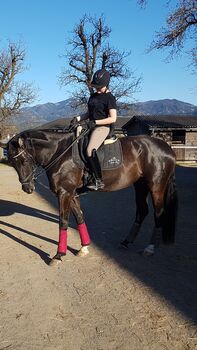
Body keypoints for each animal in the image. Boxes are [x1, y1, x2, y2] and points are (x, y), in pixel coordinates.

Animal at [0, 126, 178, 266]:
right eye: (12, 163)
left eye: (23, 161)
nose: (27, 188)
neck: (59, 152)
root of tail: (167, 148)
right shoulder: (70, 193)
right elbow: (79, 217)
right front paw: (84, 247)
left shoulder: (64, 193)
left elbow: (63, 221)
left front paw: (58, 255)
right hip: (140, 185)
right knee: (142, 211)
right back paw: (126, 242)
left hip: (156, 186)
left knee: (158, 213)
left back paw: (150, 248)